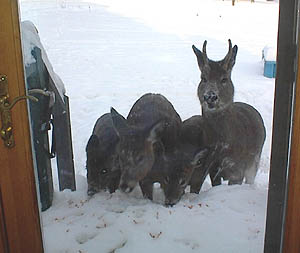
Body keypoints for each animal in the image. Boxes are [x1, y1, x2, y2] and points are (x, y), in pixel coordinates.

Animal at [191, 39, 266, 189]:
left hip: (255, 160)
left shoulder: (238, 169)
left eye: (224, 79)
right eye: (204, 78)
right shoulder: (213, 168)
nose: (210, 96)